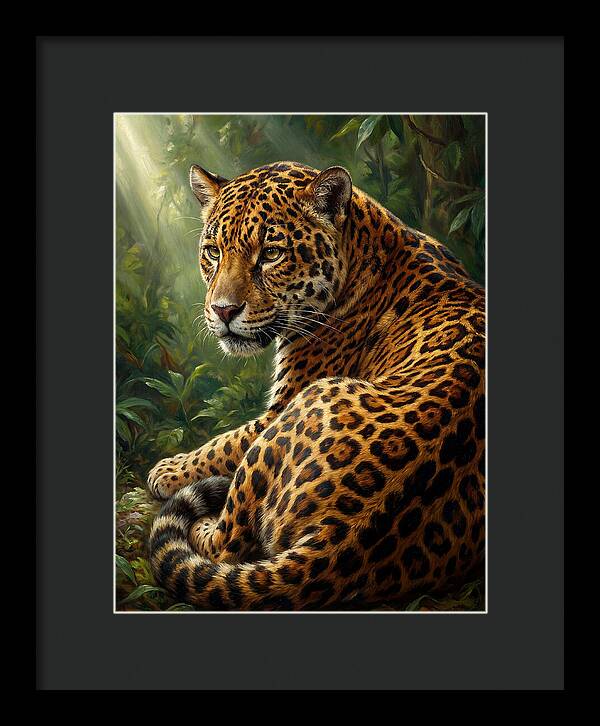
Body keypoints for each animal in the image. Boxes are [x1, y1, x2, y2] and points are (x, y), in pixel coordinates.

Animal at [147, 160, 485, 610]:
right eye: (214, 251)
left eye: (271, 253)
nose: (223, 310)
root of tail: (340, 540)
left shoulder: (281, 404)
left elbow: (225, 443)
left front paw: (169, 470)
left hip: (305, 404)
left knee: (227, 544)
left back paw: (203, 522)